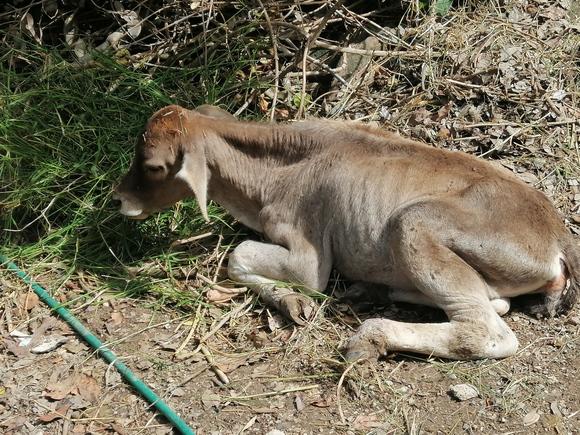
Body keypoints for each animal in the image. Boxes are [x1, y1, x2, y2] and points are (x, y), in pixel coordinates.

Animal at [114, 104, 580, 362]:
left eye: (153, 166)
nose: (118, 198)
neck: (275, 172)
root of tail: (559, 236)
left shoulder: (308, 253)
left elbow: (241, 255)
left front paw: (293, 300)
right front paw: (290, 301)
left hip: (414, 223)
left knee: (487, 331)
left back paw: (372, 334)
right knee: (494, 302)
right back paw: (382, 291)